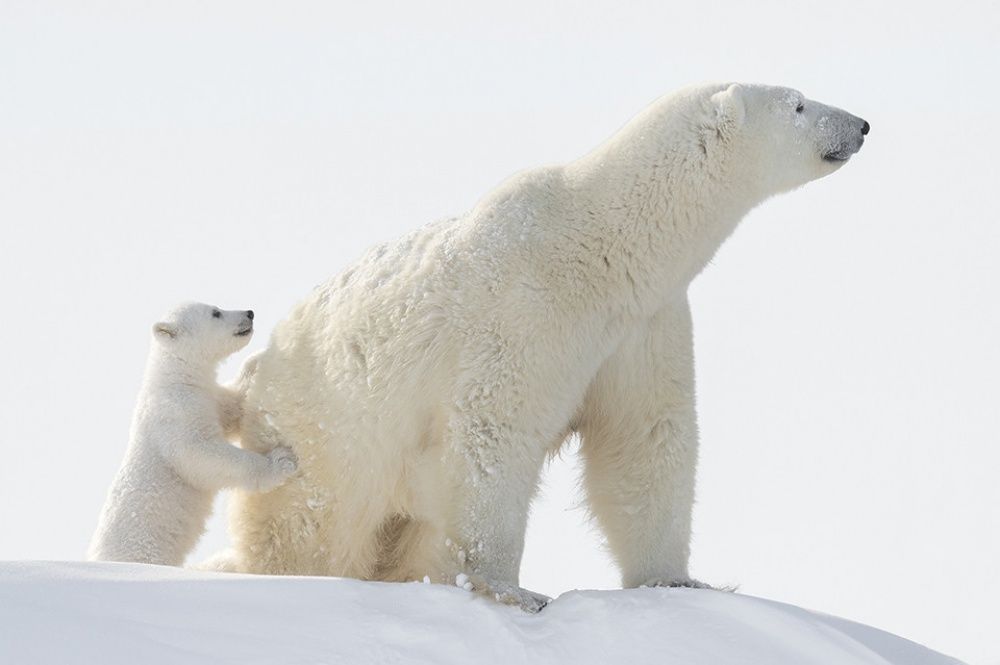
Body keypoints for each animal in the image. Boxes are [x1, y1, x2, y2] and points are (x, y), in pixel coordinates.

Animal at [90, 302, 296, 564]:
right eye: (216, 312)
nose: (249, 313)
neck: (175, 378)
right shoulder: (175, 414)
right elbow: (200, 455)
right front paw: (282, 461)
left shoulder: (208, 399)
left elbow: (231, 407)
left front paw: (257, 358)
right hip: (145, 549)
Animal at [229, 81, 868, 608]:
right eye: (798, 103)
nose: (861, 124)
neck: (603, 243)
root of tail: (253, 377)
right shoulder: (522, 309)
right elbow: (495, 432)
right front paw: (511, 588)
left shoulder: (641, 326)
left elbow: (645, 438)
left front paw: (678, 580)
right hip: (324, 436)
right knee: (313, 526)